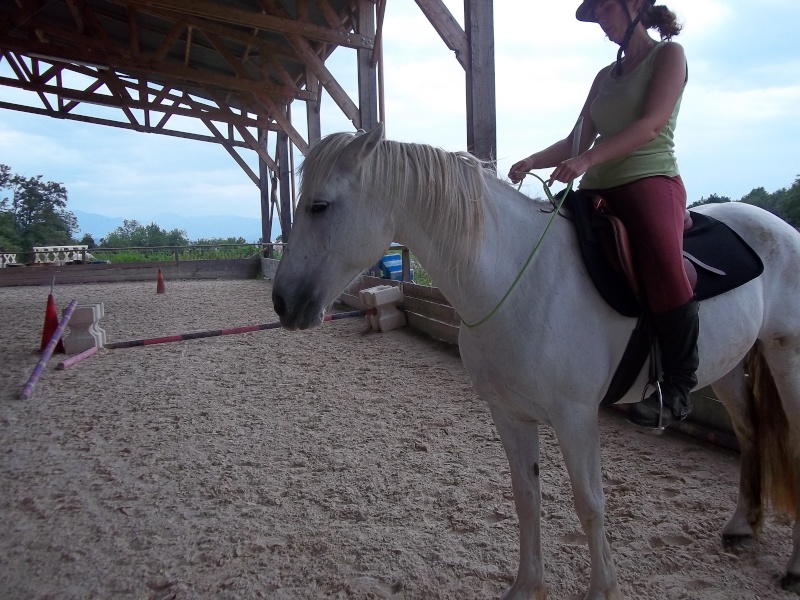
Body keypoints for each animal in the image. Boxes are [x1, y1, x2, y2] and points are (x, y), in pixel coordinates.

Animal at [274, 124, 800, 596]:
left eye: (319, 205)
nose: (282, 302)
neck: (518, 280)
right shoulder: (510, 414)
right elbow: (526, 498)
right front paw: (528, 586)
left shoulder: (575, 418)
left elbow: (590, 504)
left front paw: (603, 591)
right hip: (727, 367)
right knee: (750, 432)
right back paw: (741, 526)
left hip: (787, 359)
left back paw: (791, 569)